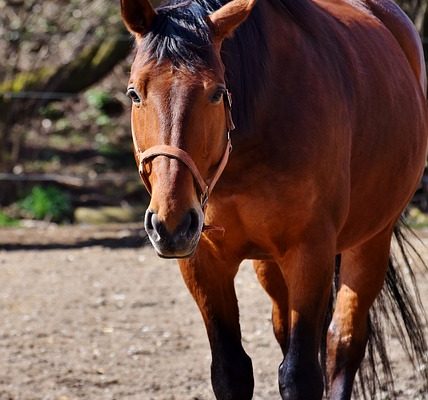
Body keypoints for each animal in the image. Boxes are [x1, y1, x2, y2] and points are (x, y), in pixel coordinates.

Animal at [119, 0, 428, 398]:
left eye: (216, 92)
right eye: (134, 93)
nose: (171, 223)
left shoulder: (310, 252)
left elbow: (300, 374)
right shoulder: (203, 262)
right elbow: (231, 370)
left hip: (372, 240)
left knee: (342, 343)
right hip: (268, 262)